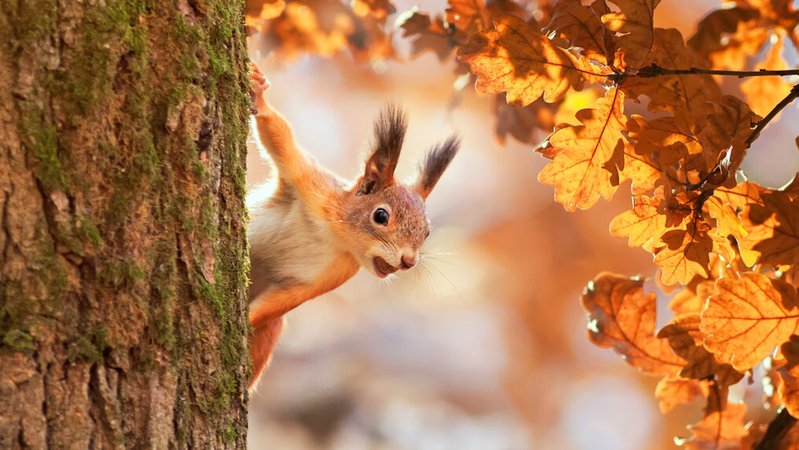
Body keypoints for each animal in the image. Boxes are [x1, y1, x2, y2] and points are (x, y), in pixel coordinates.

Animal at [246, 65, 460, 390]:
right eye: (381, 215)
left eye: (426, 232)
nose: (408, 261)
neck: (335, 236)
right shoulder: (312, 185)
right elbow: (279, 135)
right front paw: (259, 94)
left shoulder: (333, 275)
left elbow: (281, 302)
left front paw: (243, 319)